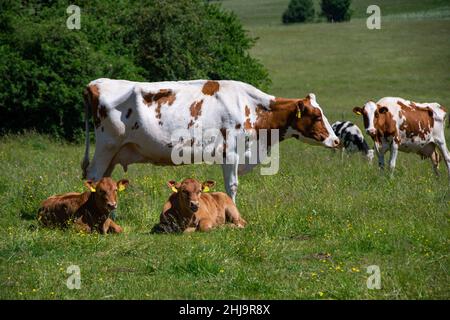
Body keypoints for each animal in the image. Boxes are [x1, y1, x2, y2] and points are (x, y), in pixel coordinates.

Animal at [81, 78, 338, 201]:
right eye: (317, 116)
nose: (336, 140)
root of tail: (96, 83)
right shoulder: (231, 152)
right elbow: (232, 185)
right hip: (106, 146)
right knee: (93, 177)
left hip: (113, 153)